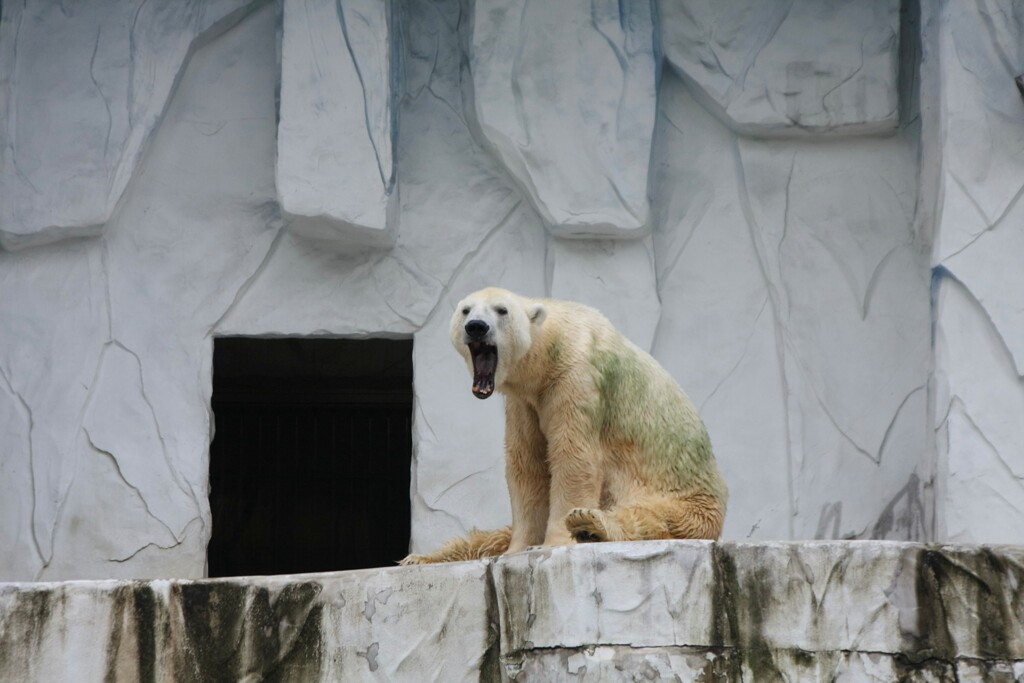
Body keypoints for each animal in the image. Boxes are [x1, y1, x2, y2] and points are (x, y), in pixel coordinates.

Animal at [399, 286, 729, 565]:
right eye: (466, 310)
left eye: (501, 310)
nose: (476, 327)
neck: (550, 346)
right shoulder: (524, 403)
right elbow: (527, 466)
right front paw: (517, 548)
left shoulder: (575, 379)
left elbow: (573, 459)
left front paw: (555, 540)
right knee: (489, 536)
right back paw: (422, 557)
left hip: (688, 501)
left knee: (650, 517)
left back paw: (590, 524)